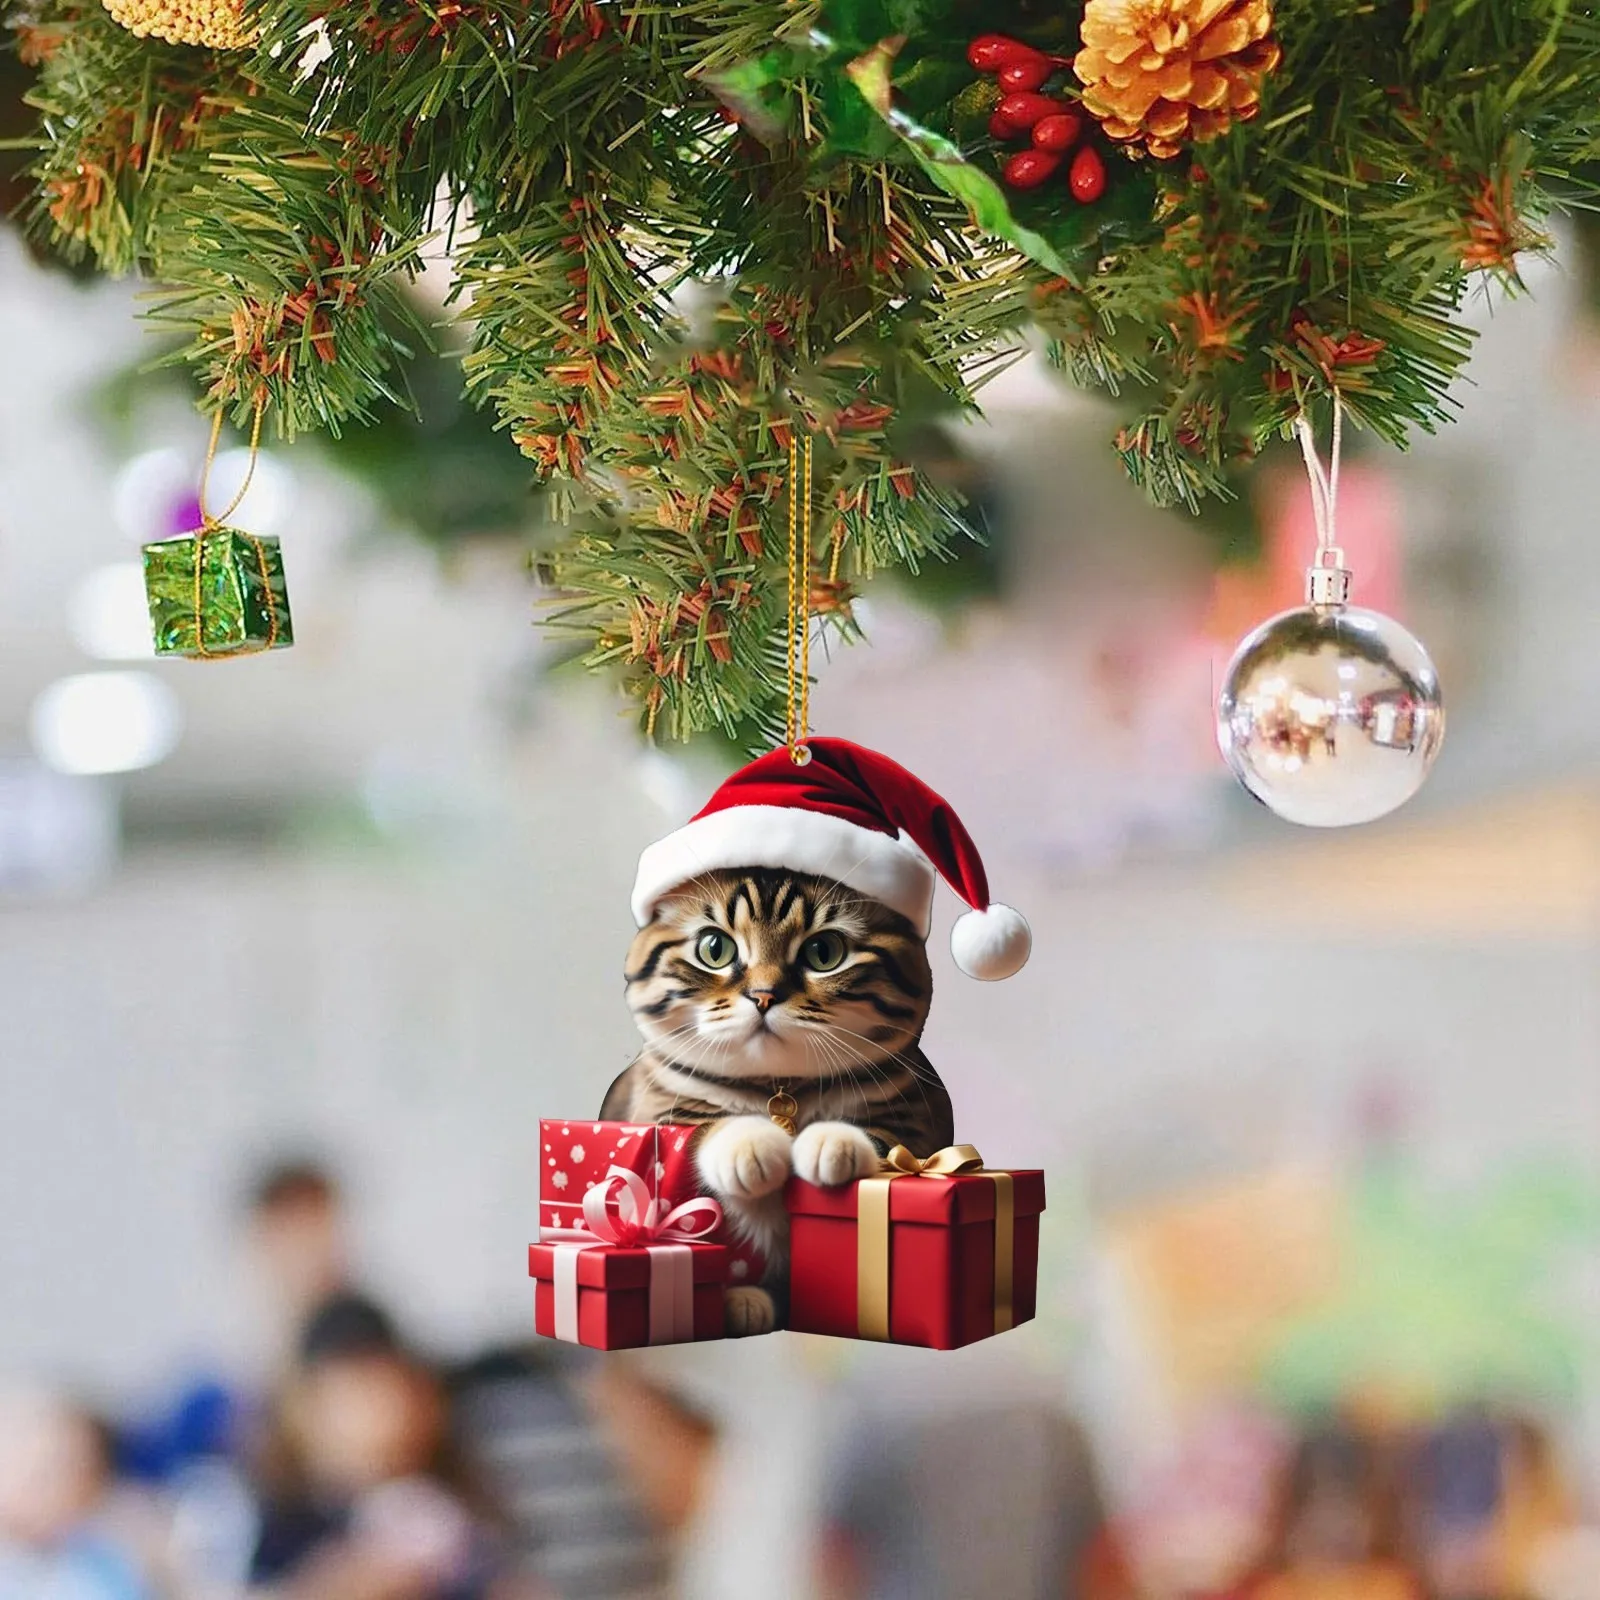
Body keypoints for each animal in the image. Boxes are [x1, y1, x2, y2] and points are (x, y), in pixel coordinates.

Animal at [601, 870, 947, 1331]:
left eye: (824, 952)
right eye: (715, 948)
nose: (763, 996)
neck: (779, 1084)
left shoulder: (915, 1122)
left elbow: (883, 1140)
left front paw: (833, 1143)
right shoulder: (660, 1114)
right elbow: (705, 1129)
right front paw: (750, 1146)